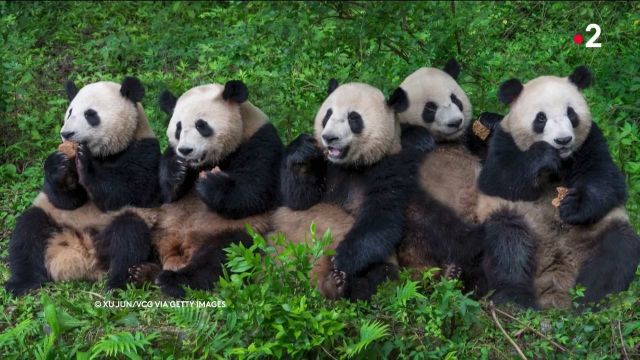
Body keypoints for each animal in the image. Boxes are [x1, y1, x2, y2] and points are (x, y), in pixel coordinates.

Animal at [5, 76, 160, 296]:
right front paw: (58, 165)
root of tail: (82, 255)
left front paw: (85, 164)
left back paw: (118, 283)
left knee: (129, 236)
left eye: (90, 114)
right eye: (70, 112)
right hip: (55, 221)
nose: (66, 133)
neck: (103, 155)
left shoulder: (144, 151)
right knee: (27, 231)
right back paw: (22, 283)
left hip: (125, 224)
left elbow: (127, 189)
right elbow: (67, 200)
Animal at [127, 80, 282, 296]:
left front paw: (210, 183)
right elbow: (162, 192)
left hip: (233, 229)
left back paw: (172, 280)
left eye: (201, 125)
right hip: (159, 223)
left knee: (224, 255)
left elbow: (256, 190)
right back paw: (140, 272)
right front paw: (177, 170)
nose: (185, 150)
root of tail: (176, 252)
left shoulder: (260, 140)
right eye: (178, 128)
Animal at [272, 79, 428, 300]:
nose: (329, 137)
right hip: (279, 242)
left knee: (382, 276)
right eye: (328, 114)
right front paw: (301, 150)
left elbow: (381, 218)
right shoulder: (325, 165)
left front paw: (341, 258)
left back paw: (337, 283)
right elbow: (300, 201)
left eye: (354, 118)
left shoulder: (389, 169)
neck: (350, 165)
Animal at [476, 66, 640, 308]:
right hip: (517, 219)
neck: (561, 162)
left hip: (600, 228)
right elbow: (498, 178)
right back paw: (515, 299)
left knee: (617, 250)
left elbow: (606, 179)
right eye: (541, 118)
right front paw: (543, 156)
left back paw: (589, 300)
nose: (563, 140)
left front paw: (573, 206)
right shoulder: (503, 140)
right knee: (507, 245)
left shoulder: (591, 142)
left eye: (571, 113)